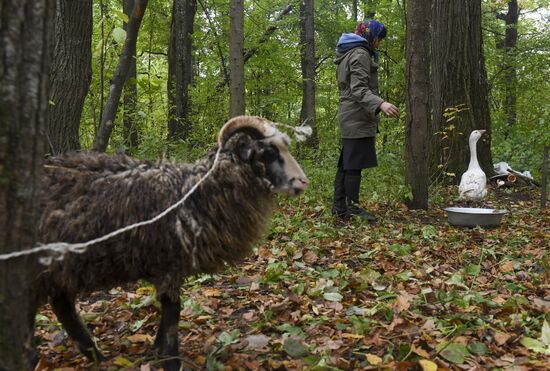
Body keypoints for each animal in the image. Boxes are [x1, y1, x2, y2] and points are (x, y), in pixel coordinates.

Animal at [34, 115, 310, 370]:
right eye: (269, 152)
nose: (303, 182)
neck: (194, 191)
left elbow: (168, 311)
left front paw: (158, 350)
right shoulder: (168, 262)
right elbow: (173, 312)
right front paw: (170, 358)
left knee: (62, 305)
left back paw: (95, 356)